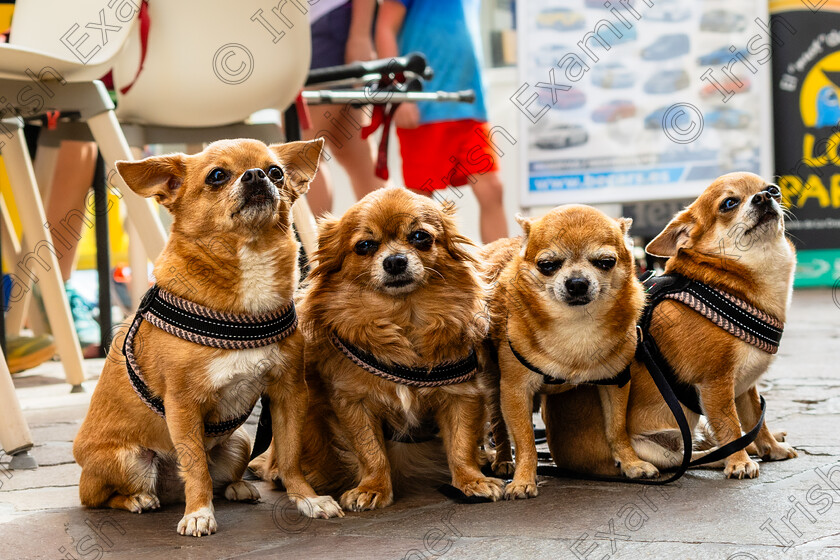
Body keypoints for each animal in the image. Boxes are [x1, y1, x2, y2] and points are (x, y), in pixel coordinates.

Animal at [74, 138, 342, 536]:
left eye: (276, 171)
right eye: (217, 176)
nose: (257, 175)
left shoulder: (289, 393)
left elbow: (289, 455)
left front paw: (308, 499)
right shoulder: (183, 406)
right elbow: (196, 466)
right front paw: (199, 513)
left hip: (239, 442)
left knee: (222, 475)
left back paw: (238, 487)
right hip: (129, 460)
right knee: (99, 498)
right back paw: (139, 499)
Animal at [254, 188, 506, 512]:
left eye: (421, 237)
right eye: (364, 246)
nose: (395, 260)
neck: (403, 317)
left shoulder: (461, 395)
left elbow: (461, 444)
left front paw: (471, 480)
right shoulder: (353, 401)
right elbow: (370, 450)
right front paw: (372, 488)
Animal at [480, 202, 656, 498]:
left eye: (606, 262)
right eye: (547, 265)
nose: (576, 282)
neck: (576, 327)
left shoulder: (616, 382)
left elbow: (617, 428)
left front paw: (631, 462)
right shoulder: (515, 390)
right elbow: (525, 440)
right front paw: (523, 479)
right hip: (493, 386)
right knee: (499, 426)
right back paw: (504, 461)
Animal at [540, 173, 796, 480]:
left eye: (773, 190)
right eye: (729, 203)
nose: (765, 196)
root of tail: (561, 459)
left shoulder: (746, 388)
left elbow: (756, 418)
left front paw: (771, 447)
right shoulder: (716, 385)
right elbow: (731, 427)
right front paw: (739, 461)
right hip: (651, 449)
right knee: (685, 459)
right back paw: (723, 456)